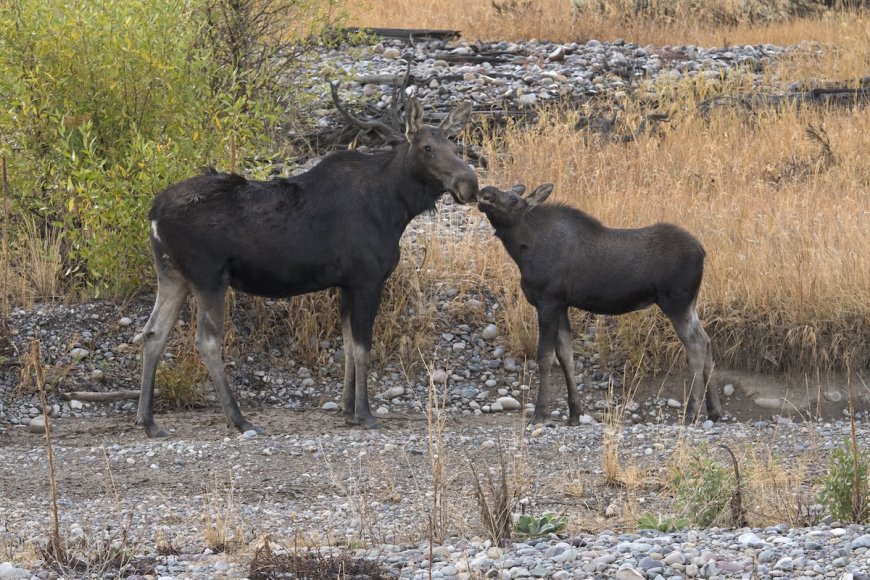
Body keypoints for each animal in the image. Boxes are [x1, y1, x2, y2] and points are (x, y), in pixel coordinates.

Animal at [134, 95, 478, 437]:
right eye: (427, 148)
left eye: (453, 144)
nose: (469, 183)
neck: (398, 206)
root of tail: (153, 212)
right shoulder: (367, 278)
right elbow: (363, 347)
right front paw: (365, 414)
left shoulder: (345, 283)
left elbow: (347, 344)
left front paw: (346, 410)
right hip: (208, 276)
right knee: (206, 340)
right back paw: (239, 419)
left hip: (172, 275)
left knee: (153, 332)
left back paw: (148, 420)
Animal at [477, 183, 722, 425]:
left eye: (514, 200)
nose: (485, 193)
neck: (523, 250)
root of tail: (702, 252)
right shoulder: (562, 305)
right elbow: (566, 355)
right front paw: (574, 413)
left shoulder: (548, 302)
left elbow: (545, 357)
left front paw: (539, 415)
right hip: (690, 304)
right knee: (707, 341)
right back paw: (714, 410)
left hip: (676, 303)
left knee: (697, 344)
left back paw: (692, 412)